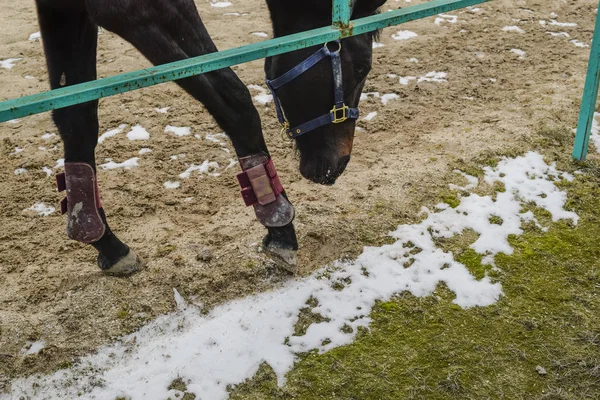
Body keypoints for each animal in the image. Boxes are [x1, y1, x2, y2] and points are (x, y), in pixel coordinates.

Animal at [35, 0, 384, 276]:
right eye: (362, 67)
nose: (338, 164)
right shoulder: (135, 8)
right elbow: (234, 100)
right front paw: (279, 224)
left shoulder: (63, 7)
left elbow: (77, 116)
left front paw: (101, 238)